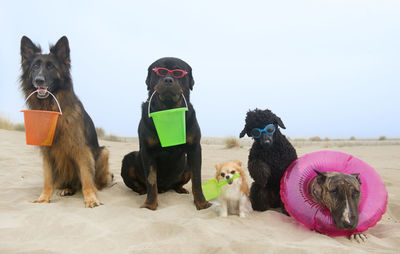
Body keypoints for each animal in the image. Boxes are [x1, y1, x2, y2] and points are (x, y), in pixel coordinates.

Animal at [20, 35, 112, 207]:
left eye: (51, 67)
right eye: (35, 66)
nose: (39, 80)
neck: (52, 109)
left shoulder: (81, 149)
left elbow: (86, 177)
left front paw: (91, 198)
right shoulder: (47, 153)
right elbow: (48, 179)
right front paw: (44, 197)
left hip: (104, 152)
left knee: (93, 181)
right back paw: (67, 188)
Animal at [120, 57, 211, 210]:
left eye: (178, 72)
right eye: (161, 71)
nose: (168, 79)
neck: (169, 112)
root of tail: (164, 188)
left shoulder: (194, 148)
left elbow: (197, 179)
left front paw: (202, 203)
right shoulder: (147, 150)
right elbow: (151, 180)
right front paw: (149, 205)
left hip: (185, 166)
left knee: (178, 182)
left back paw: (181, 189)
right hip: (128, 159)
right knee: (140, 184)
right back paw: (142, 191)